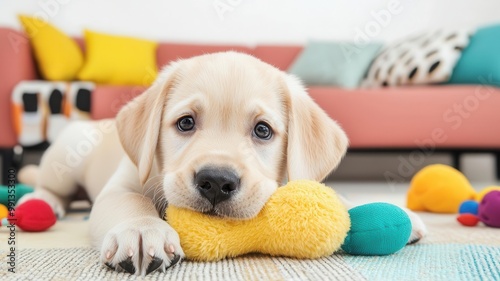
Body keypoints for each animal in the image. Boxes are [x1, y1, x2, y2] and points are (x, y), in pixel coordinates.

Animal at [19, 51, 426, 274]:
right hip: (66, 155)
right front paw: (142, 230)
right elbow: (130, 201)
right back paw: (42, 203)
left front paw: (396, 213)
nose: (216, 181)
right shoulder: (123, 183)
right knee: (49, 184)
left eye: (263, 130)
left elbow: (334, 194)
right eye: (185, 123)